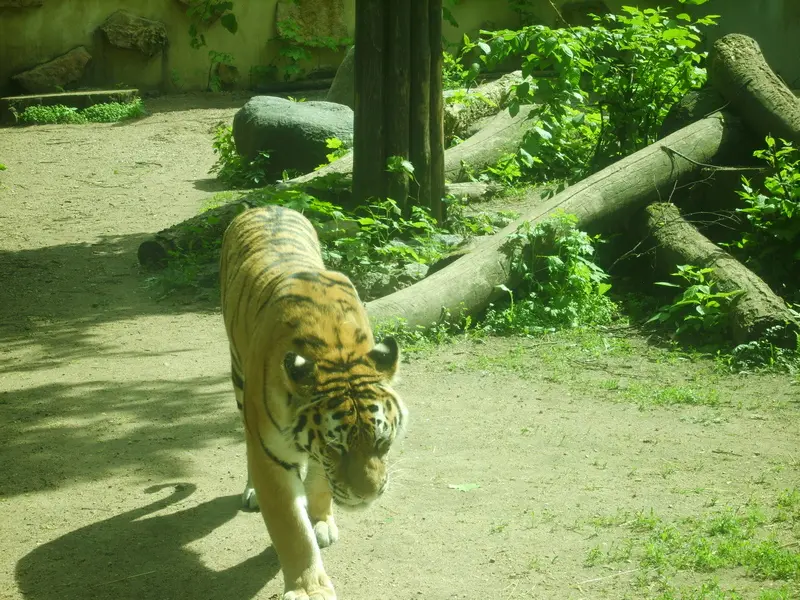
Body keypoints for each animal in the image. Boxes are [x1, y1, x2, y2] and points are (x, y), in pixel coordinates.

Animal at [219, 204, 407, 600]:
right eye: (337, 449)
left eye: (383, 443)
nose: (368, 495)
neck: (336, 352)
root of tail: (266, 204)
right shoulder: (271, 455)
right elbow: (291, 529)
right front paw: (309, 589)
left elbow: (320, 484)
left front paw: (320, 520)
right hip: (239, 379)